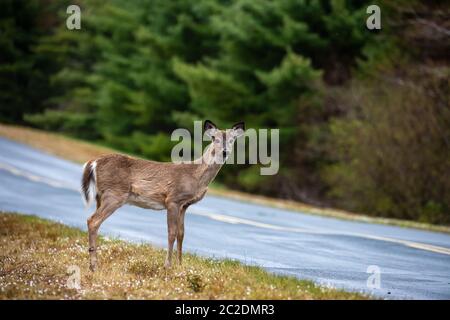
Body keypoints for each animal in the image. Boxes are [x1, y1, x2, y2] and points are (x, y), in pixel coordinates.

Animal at [79, 119, 244, 270]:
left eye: (232, 139)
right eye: (214, 138)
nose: (224, 152)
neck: (196, 176)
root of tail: (93, 162)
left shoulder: (185, 205)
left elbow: (181, 234)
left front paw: (180, 266)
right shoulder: (173, 199)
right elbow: (171, 233)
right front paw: (167, 265)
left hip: (101, 196)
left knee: (95, 221)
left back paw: (93, 262)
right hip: (115, 194)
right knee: (93, 220)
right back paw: (94, 265)